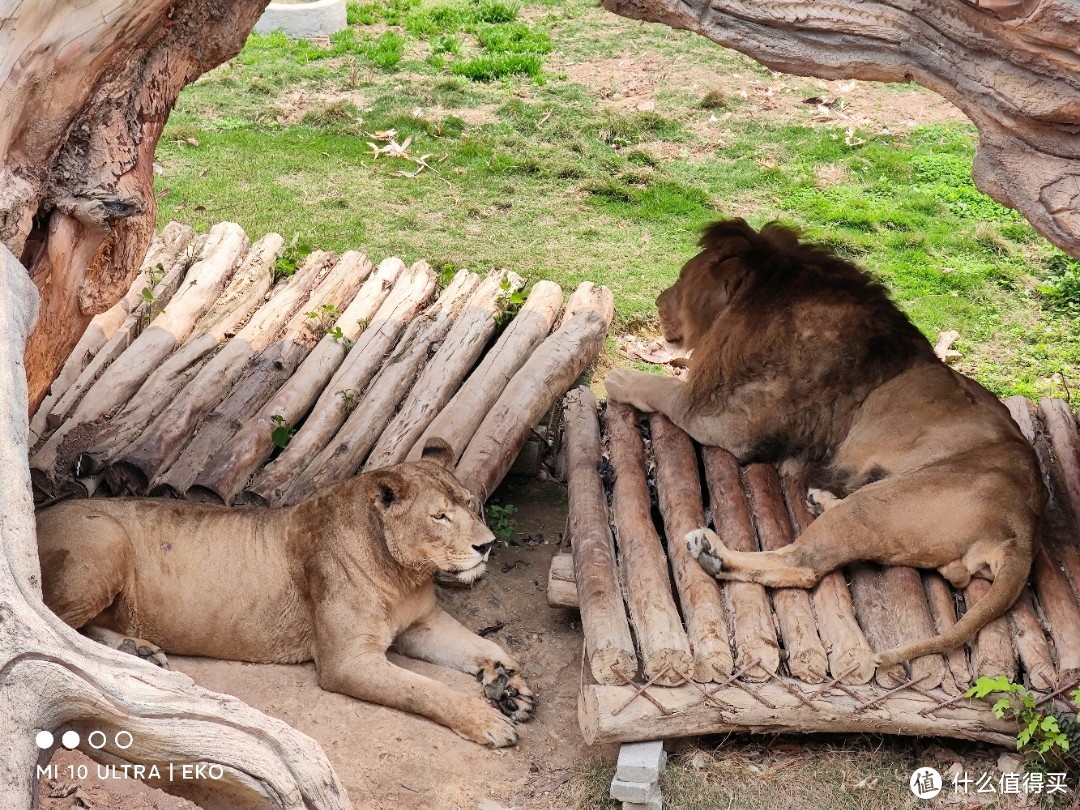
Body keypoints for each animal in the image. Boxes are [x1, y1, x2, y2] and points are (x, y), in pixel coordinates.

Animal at [38, 440, 535, 751]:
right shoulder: (347, 662)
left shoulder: (421, 622)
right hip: (105, 538)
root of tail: (38, 514)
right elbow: (426, 690)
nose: (487, 545)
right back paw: (129, 651)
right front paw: (488, 720)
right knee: (50, 623)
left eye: (471, 504)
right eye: (440, 517)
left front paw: (510, 687)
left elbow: (488, 646)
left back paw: (134, 650)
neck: (403, 576)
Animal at [604, 219, 1041, 669]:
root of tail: (1023, 526)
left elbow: (665, 391)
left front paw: (621, 379)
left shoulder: (731, 423)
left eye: (681, 280)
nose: (658, 301)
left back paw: (713, 551)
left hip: (878, 504)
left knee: (800, 565)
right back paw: (820, 500)